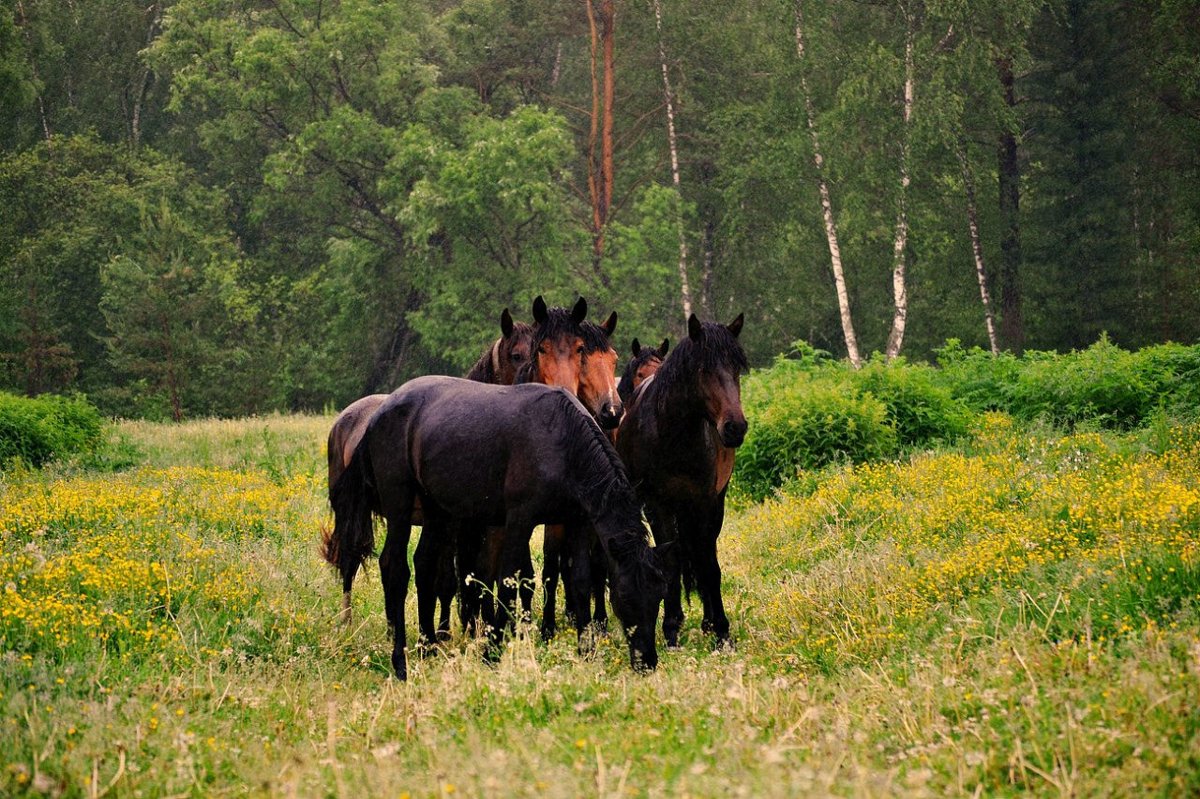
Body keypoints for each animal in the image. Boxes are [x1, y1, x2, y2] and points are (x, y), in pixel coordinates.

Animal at [324, 374, 672, 676]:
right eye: (625, 596)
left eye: (658, 594)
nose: (647, 661)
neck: (561, 439)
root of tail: (378, 413)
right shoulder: (519, 521)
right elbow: (507, 580)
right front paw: (491, 652)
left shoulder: (576, 522)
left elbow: (581, 581)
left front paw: (585, 650)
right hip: (400, 505)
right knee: (394, 568)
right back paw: (400, 662)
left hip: (437, 511)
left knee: (423, 564)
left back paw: (428, 646)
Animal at [614, 311, 744, 647]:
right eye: (703, 369)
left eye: (737, 368)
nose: (735, 427)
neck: (673, 435)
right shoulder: (658, 505)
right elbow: (671, 561)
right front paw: (671, 626)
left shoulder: (706, 502)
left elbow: (708, 563)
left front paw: (721, 629)